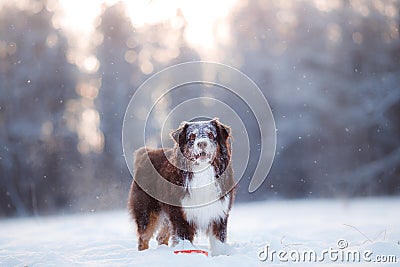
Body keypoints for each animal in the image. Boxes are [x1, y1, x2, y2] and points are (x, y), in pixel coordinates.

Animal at [127, 119, 234, 255]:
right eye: (192, 137)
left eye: (210, 135)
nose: (202, 143)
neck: (202, 172)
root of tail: (147, 153)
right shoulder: (181, 214)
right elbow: (183, 239)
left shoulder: (219, 212)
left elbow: (219, 240)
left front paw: (220, 255)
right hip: (147, 211)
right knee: (144, 238)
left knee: (161, 237)